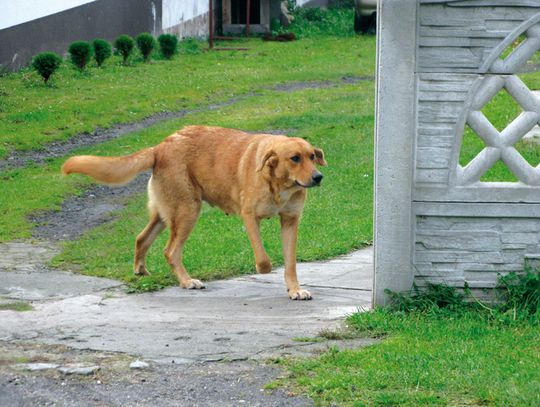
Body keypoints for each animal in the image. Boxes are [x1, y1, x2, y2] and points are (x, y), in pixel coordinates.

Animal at [62, 126, 324, 302]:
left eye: (312, 156)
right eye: (295, 158)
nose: (318, 177)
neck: (280, 184)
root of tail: (160, 147)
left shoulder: (290, 221)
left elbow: (290, 263)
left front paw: (294, 289)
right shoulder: (249, 217)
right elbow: (264, 261)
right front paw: (264, 271)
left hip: (166, 213)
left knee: (141, 238)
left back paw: (141, 270)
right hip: (187, 211)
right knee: (170, 251)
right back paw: (187, 281)